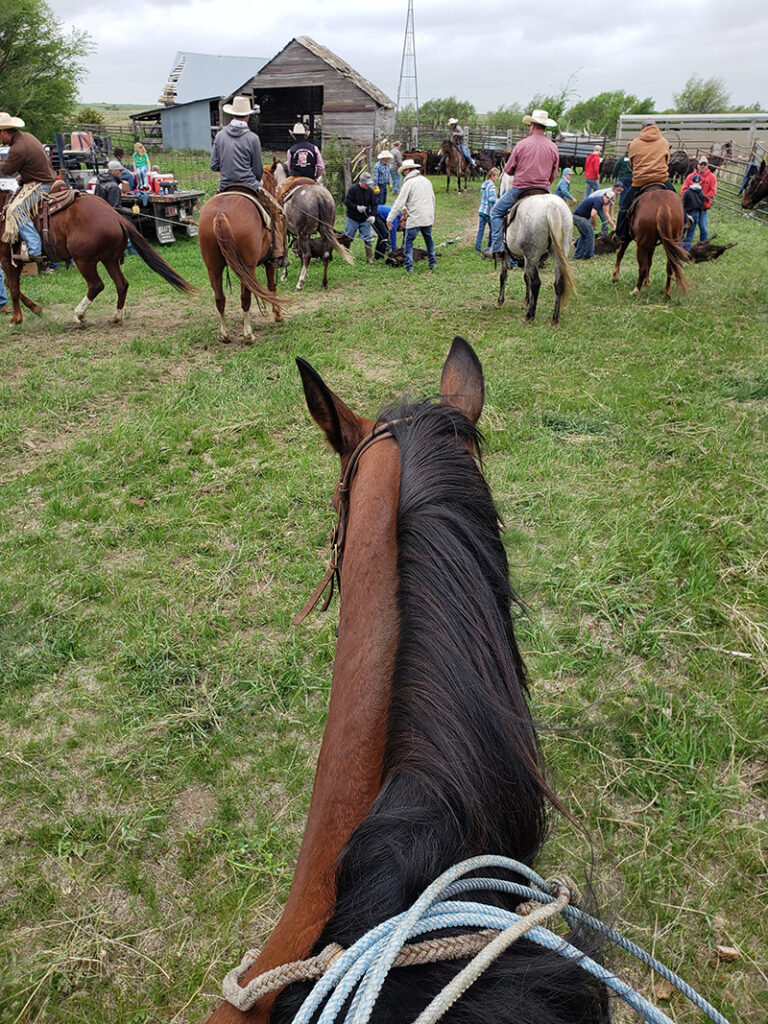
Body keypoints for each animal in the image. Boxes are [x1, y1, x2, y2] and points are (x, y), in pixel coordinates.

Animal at [0, 188, 195, 327]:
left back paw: (78, 315)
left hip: (84, 261)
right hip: (110, 260)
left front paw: (16, 319)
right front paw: (36, 309)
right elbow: (12, 285)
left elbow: (13, 288)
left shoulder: (7, 258)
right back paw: (116, 317)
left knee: (96, 285)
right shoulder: (15, 261)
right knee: (121, 284)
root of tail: (116, 216)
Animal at [198, 167, 286, 344]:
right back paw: (248, 335)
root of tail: (220, 213)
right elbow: (271, 285)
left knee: (220, 298)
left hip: (213, 266)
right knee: (245, 297)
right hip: (248, 266)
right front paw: (277, 314)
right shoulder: (268, 262)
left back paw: (225, 334)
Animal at [495, 194, 575, 327]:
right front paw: (527, 301)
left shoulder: (507, 255)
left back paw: (529, 316)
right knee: (558, 283)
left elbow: (503, 276)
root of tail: (552, 208)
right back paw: (555, 319)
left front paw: (500, 301)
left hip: (531, 256)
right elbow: (526, 278)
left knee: (536, 283)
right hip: (559, 253)